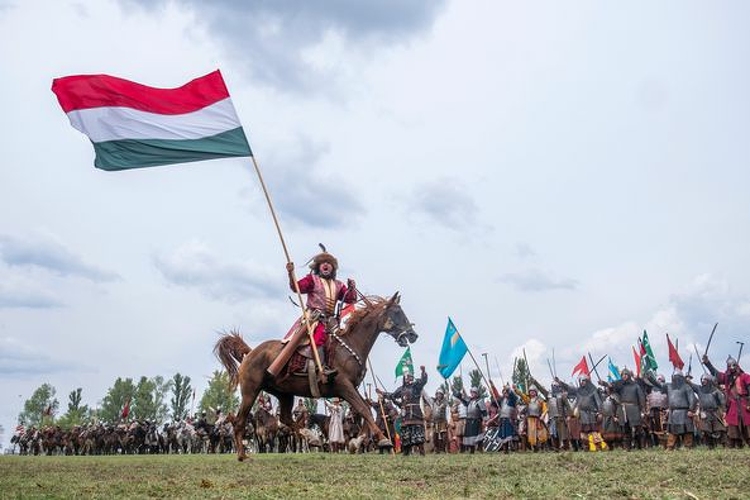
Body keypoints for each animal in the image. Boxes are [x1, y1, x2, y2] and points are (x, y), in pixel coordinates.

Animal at [214, 292, 420, 460]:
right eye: (397, 312)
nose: (413, 335)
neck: (351, 344)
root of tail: (250, 353)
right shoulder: (344, 386)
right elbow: (364, 409)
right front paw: (383, 440)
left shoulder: (350, 389)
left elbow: (364, 411)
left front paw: (359, 441)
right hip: (251, 391)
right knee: (239, 422)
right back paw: (242, 455)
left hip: (284, 393)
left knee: (286, 418)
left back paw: (313, 439)